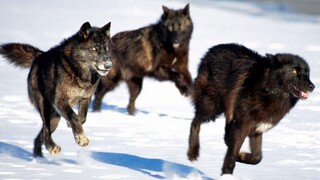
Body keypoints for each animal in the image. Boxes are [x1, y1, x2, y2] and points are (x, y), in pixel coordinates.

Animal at [0, 21, 112, 157]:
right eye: (94, 49)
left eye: (107, 49)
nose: (108, 65)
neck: (79, 72)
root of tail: (39, 56)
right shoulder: (60, 100)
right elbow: (73, 116)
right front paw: (81, 138)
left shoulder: (86, 98)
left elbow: (81, 118)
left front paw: (74, 128)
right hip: (45, 107)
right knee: (45, 131)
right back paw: (52, 147)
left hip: (55, 118)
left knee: (40, 136)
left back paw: (39, 157)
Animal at [188, 43, 316, 174]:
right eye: (294, 71)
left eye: (307, 73)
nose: (312, 86)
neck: (268, 90)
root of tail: (211, 50)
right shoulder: (241, 126)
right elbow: (232, 156)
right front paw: (227, 174)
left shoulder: (256, 130)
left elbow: (256, 157)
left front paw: (241, 156)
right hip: (211, 108)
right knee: (195, 122)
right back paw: (193, 153)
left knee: (224, 134)